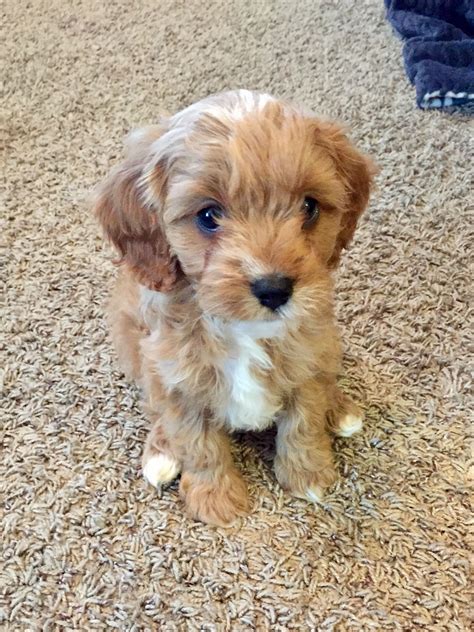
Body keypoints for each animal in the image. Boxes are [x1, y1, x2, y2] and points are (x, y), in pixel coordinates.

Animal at [92, 87, 374, 524]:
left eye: (309, 207)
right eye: (208, 216)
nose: (274, 289)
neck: (243, 328)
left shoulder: (309, 354)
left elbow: (304, 419)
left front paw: (306, 474)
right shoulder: (177, 377)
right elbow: (198, 442)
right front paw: (215, 499)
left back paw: (340, 409)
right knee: (155, 407)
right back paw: (161, 451)